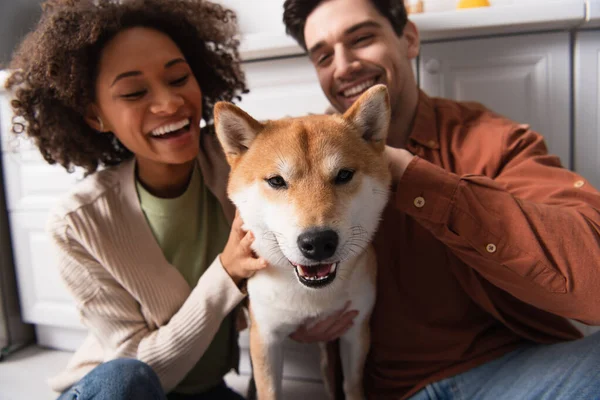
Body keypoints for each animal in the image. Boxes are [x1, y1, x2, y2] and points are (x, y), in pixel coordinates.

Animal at [213, 85, 392, 400]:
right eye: (276, 181)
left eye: (344, 175)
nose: (318, 241)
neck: (310, 297)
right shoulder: (265, 338)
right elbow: (269, 392)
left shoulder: (355, 331)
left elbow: (352, 385)